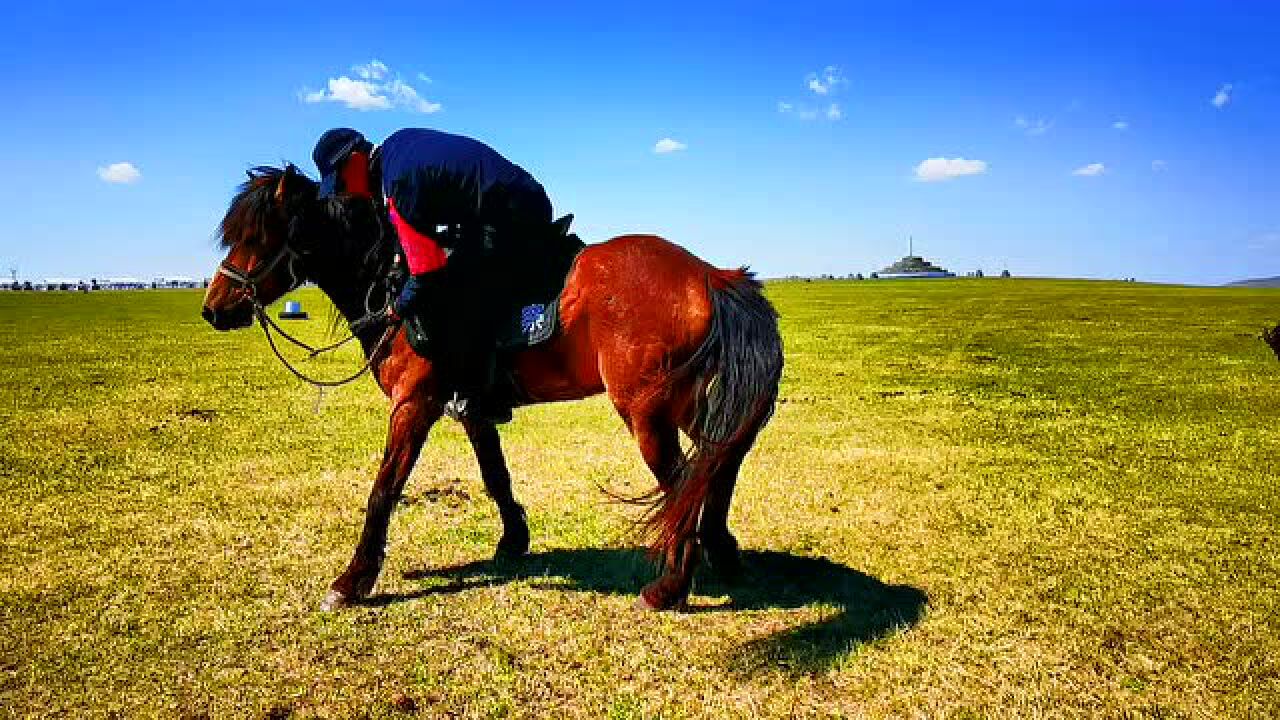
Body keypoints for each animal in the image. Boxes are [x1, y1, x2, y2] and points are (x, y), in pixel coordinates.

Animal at [202, 165, 778, 607]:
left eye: (255, 237)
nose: (213, 309)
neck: (395, 280)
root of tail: (711, 275)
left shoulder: (414, 403)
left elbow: (384, 488)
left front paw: (353, 579)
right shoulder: (471, 407)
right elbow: (495, 474)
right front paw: (514, 539)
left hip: (647, 413)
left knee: (683, 483)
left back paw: (671, 586)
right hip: (690, 405)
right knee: (719, 465)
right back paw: (721, 551)